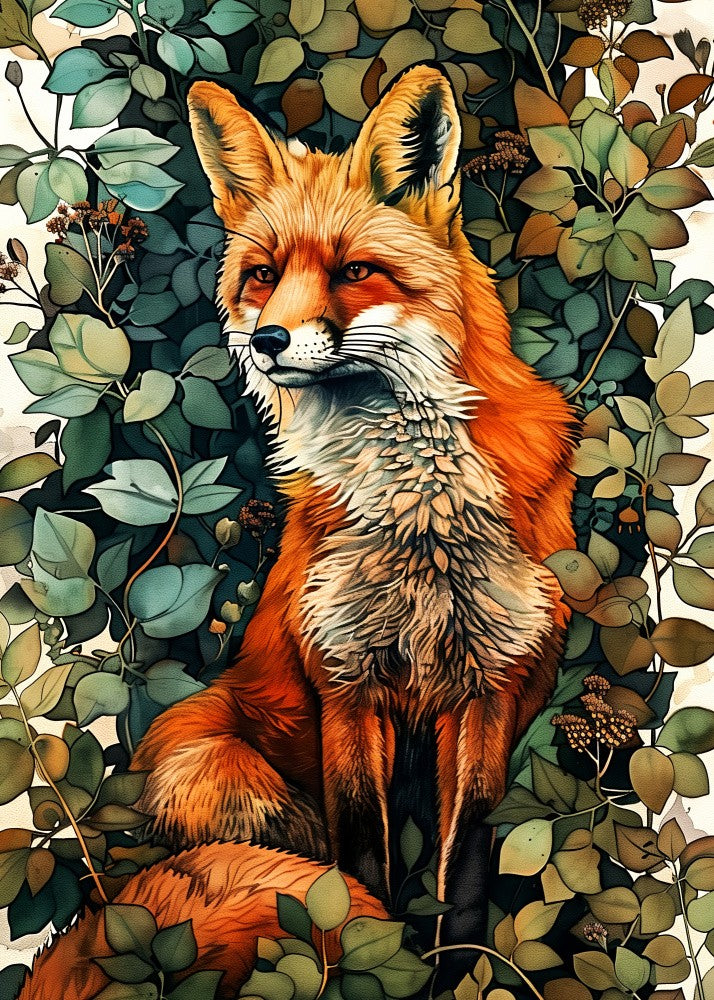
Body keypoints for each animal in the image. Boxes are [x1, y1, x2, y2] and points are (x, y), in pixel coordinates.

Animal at [18, 64, 576, 997]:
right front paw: (388, 962)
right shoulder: (345, 682)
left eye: (355, 271)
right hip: (212, 763)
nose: (271, 340)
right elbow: (363, 865)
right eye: (264, 275)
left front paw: (455, 972)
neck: (416, 519)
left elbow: (462, 870)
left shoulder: (489, 685)